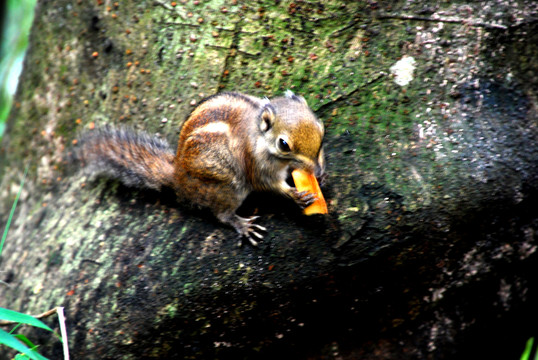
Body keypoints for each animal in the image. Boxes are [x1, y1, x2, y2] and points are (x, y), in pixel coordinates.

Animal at [73, 91, 324, 246]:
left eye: (321, 131)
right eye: (284, 145)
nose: (316, 171)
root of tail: (178, 178)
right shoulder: (255, 163)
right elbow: (268, 185)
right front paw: (295, 195)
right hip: (227, 187)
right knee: (222, 214)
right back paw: (242, 225)